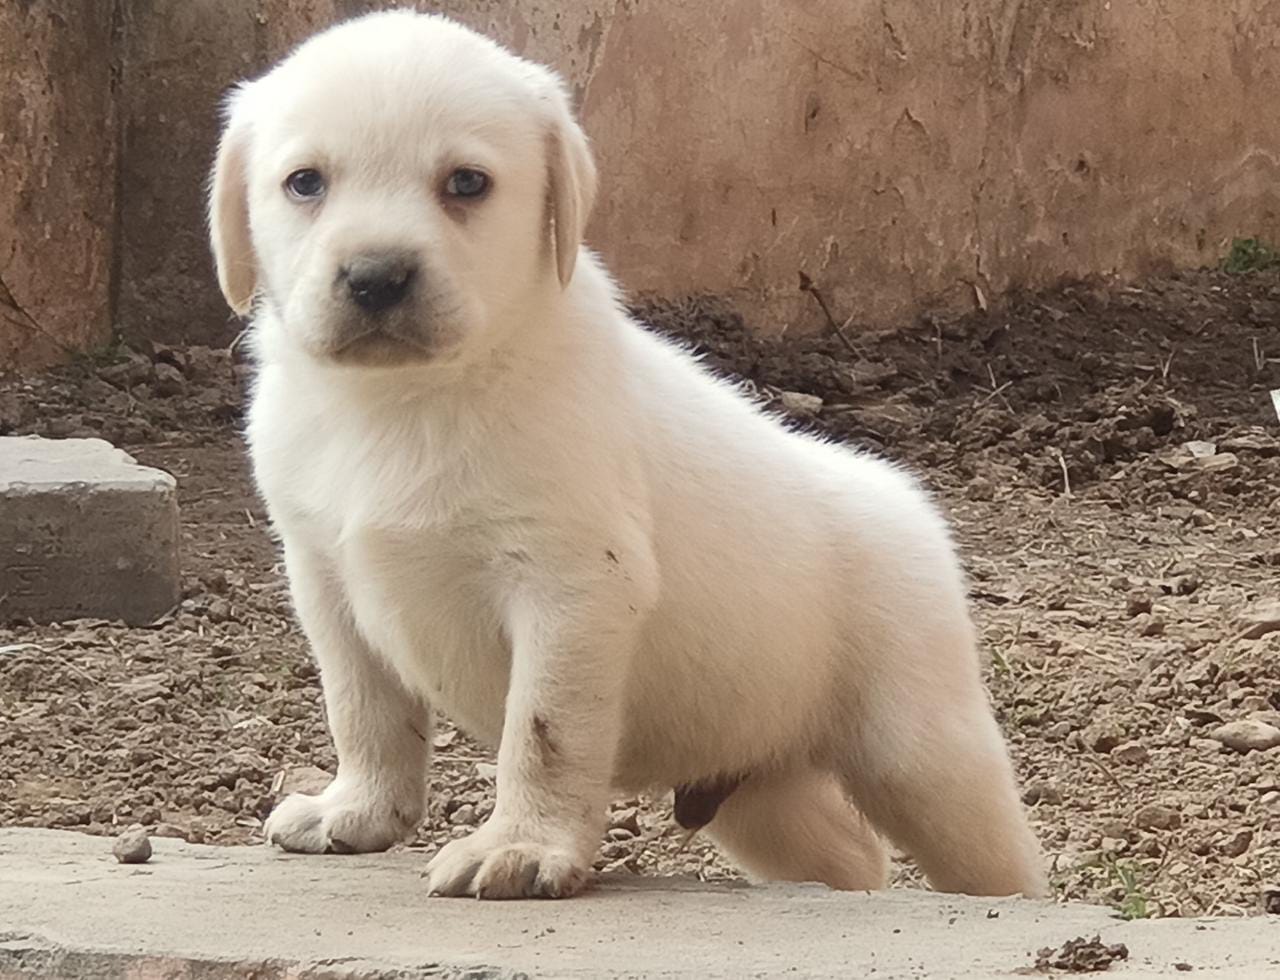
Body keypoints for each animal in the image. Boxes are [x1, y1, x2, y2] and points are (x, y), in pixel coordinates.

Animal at [212, 9, 1049, 905]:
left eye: (466, 183)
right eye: (305, 183)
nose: (376, 277)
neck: (406, 401)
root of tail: (902, 494)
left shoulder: (570, 586)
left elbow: (541, 731)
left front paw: (523, 846)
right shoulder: (325, 578)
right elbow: (364, 709)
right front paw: (356, 813)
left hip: (922, 753)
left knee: (996, 858)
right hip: (762, 795)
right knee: (850, 861)